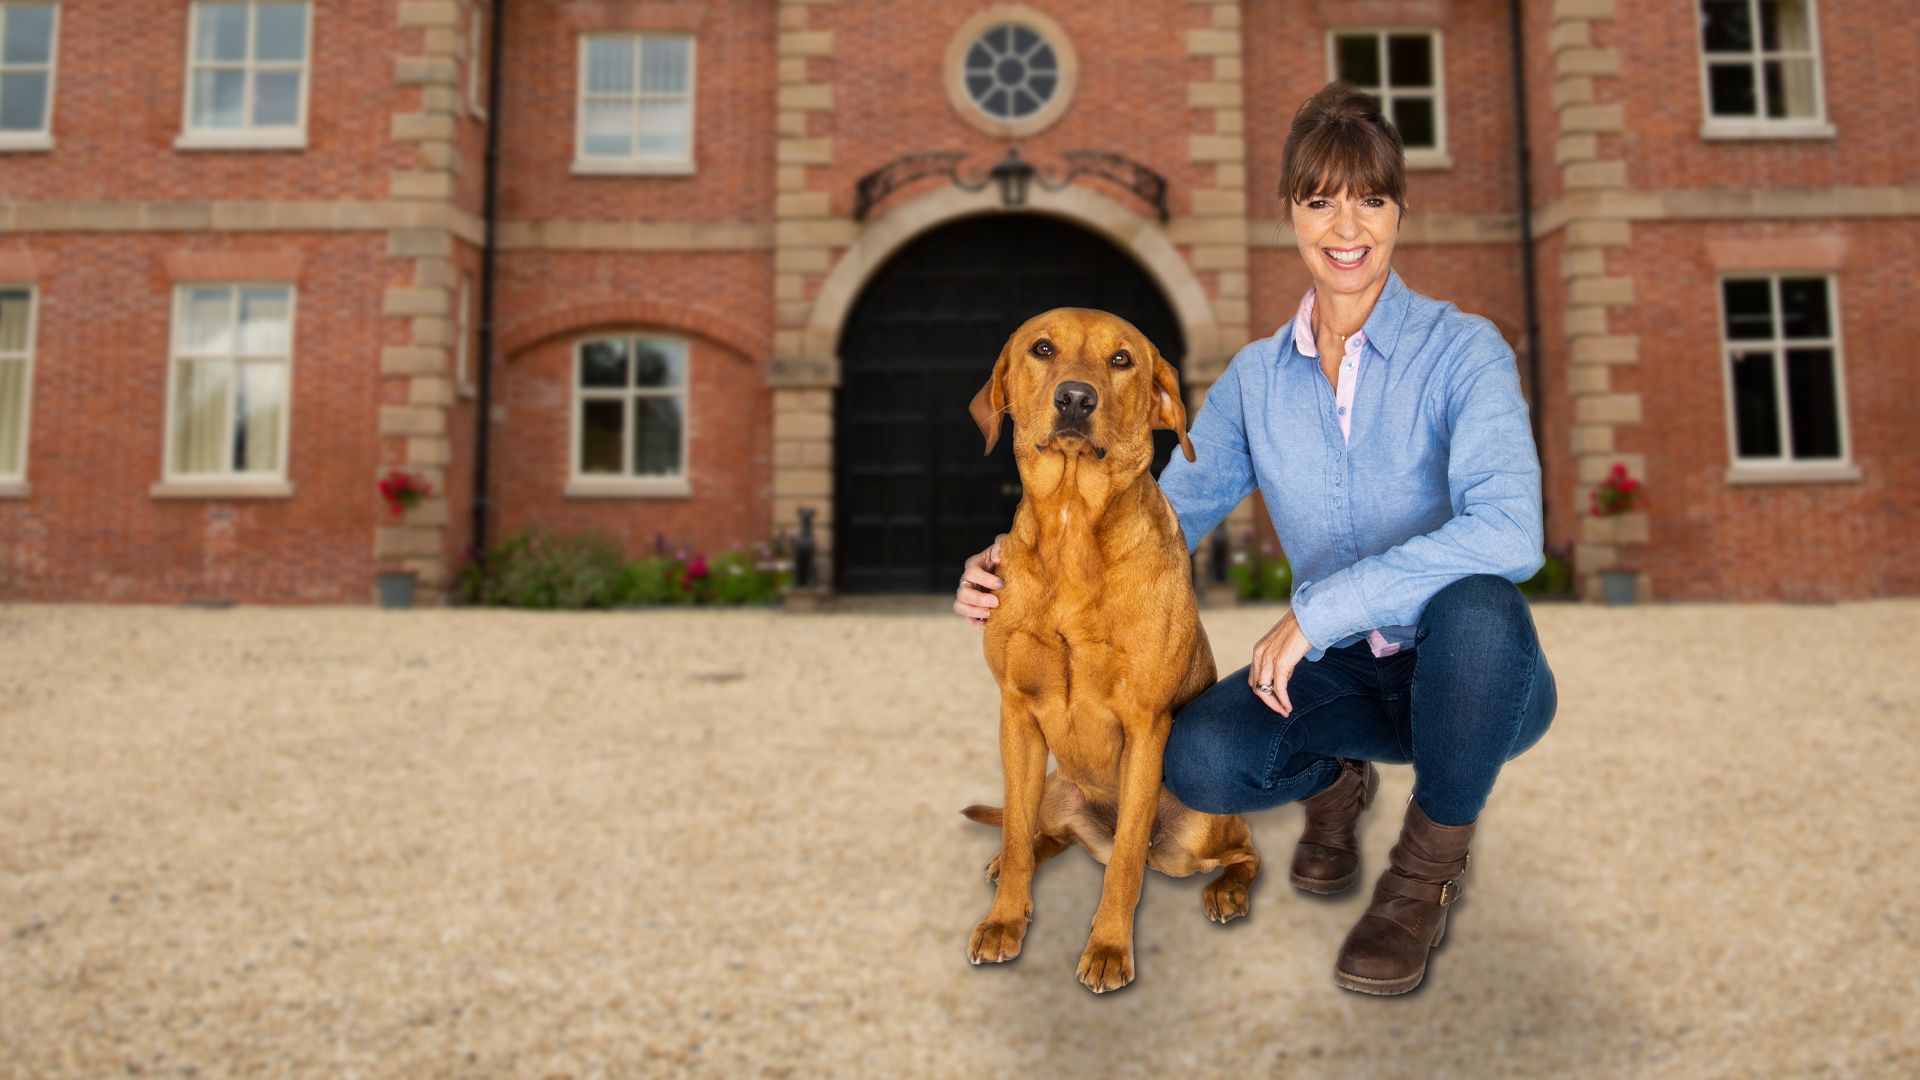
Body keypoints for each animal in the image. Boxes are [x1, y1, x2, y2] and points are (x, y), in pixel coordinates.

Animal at [960, 307, 1259, 991]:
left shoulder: (1146, 726)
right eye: (1043, 349)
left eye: (1122, 360)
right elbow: (1016, 833)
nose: (1075, 398)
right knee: (1040, 833)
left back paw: (1228, 889)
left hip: (1198, 829)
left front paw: (1108, 947)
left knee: (1239, 850)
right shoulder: (1016, 713)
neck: (1074, 522)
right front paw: (1005, 918)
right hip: (1054, 787)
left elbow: (1124, 862)